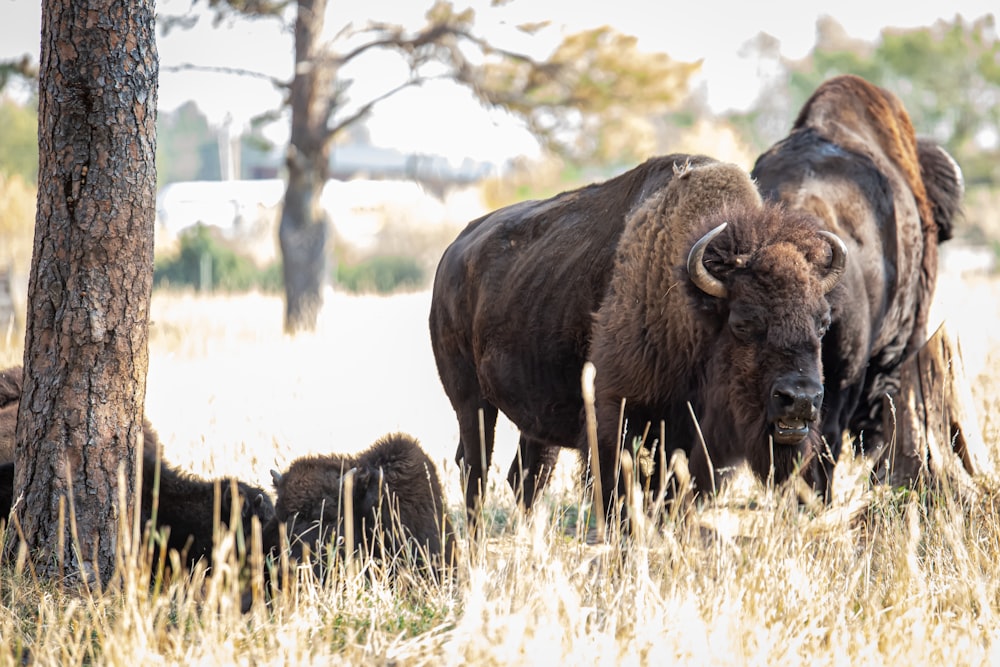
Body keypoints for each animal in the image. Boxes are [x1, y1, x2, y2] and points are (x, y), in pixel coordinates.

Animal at [434, 154, 848, 528]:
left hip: (534, 417)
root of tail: (451, 255)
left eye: (823, 323)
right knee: (474, 469)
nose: (801, 400)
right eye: (743, 323)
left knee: (526, 475)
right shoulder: (616, 423)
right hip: (472, 403)